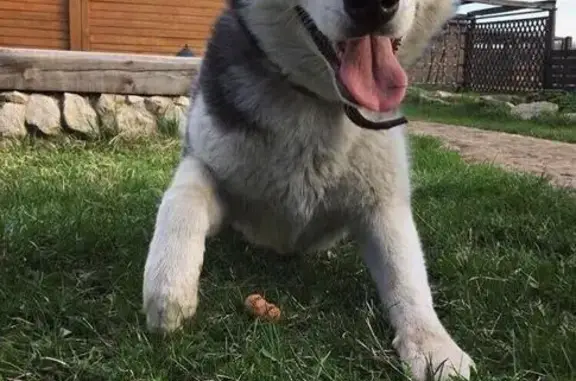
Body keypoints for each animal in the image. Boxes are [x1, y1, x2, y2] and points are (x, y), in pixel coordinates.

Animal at [142, 0, 474, 378]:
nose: (372, 5)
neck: (319, 101)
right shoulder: (210, 162)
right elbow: (185, 195)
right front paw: (169, 285)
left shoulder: (383, 199)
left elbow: (405, 270)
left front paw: (432, 344)